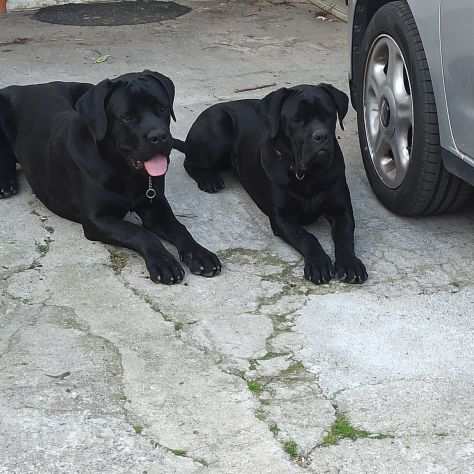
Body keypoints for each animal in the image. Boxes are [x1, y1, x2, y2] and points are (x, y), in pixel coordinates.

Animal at [0, 71, 221, 286]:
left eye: (162, 108)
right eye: (127, 117)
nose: (159, 136)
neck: (125, 171)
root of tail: (33, 86)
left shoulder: (155, 206)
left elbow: (179, 228)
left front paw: (200, 254)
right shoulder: (97, 219)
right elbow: (140, 232)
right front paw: (164, 262)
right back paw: (6, 184)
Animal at [174, 84, 366, 286]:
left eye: (329, 114)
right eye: (297, 119)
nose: (321, 136)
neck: (307, 174)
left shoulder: (341, 211)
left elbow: (345, 237)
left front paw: (349, 263)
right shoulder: (282, 218)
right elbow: (307, 237)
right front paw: (318, 262)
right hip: (219, 128)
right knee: (189, 162)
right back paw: (209, 179)